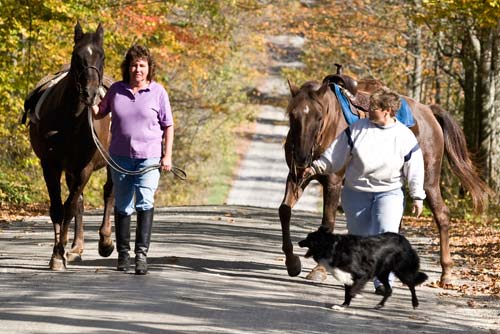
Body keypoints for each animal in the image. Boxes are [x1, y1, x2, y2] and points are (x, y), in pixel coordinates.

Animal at [280, 64, 490, 282]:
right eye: (293, 115)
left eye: (319, 117)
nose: (302, 157)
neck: (329, 126)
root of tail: (429, 112)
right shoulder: (297, 177)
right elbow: (284, 211)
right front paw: (292, 262)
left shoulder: (333, 182)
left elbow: (327, 223)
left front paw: (319, 269)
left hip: (428, 181)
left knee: (441, 215)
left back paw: (446, 272)